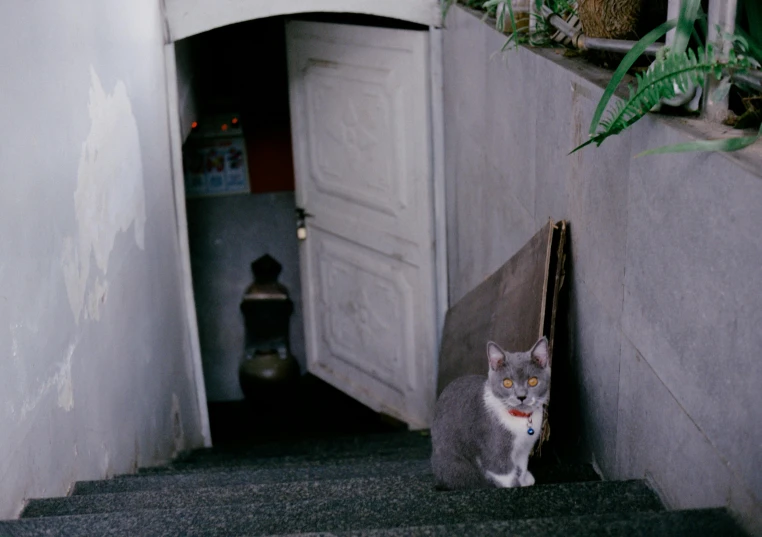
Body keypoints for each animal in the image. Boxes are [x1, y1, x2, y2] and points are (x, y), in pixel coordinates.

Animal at [430, 340, 548, 490]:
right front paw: (515, 485)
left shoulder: (524, 449)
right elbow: (503, 473)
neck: (518, 417)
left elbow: (521, 466)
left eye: (533, 381)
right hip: (456, 465)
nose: (521, 396)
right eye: (507, 383)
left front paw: (523, 479)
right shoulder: (494, 448)